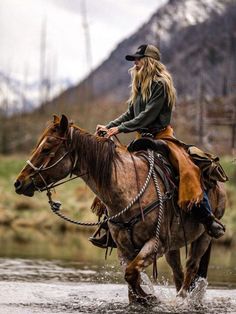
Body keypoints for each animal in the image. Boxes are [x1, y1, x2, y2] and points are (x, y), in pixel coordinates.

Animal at [13, 114, 226, 304]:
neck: (129, 188)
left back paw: (182, 299)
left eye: (47, 148)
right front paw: (144, 297)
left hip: (203, 238)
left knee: (191, 268)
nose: (18, 183)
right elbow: (130, 279)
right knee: (178, 272)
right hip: (173, 246)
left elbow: (131, 274)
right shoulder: (125, 249)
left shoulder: (156, 244)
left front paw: (150, 297)